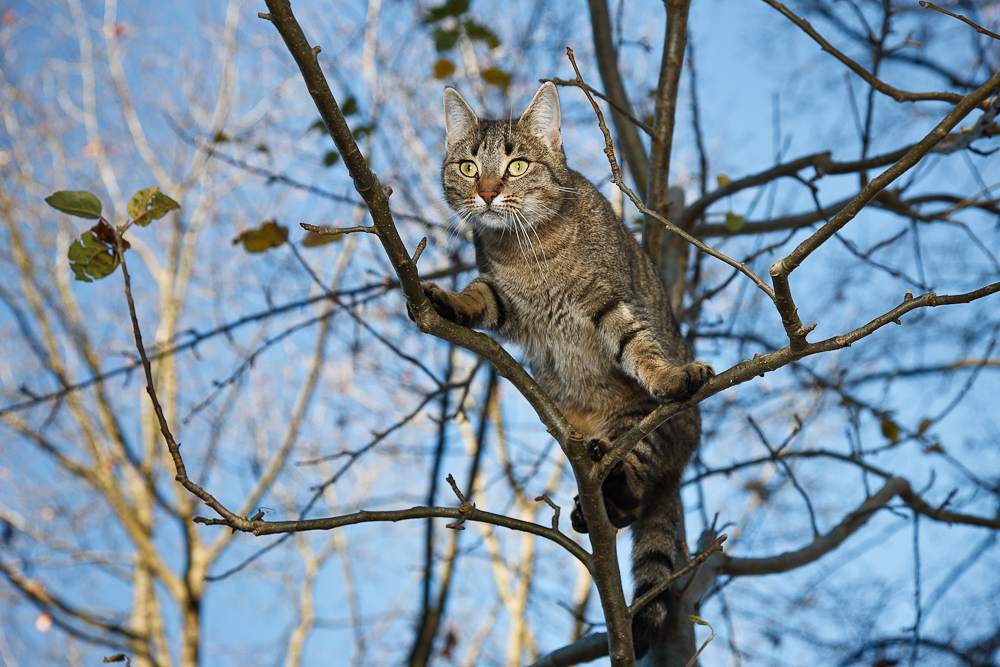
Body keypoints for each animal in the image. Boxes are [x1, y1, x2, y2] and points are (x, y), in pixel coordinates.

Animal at [422, 81, 712, 660]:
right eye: (468, 167)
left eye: (516, 166)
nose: (486, 193)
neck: (525, 247)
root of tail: (682, 463)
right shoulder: (501, 297)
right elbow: (476, 297)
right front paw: (451, 303)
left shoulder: (609, 302)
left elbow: (638, 345)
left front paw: (667, 375)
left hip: (640, 426)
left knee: (635, 486)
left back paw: (612, 480)